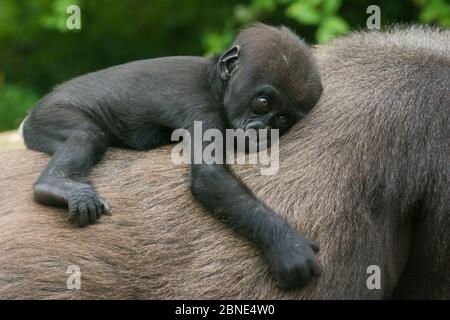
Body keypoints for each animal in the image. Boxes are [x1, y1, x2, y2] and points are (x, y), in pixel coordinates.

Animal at [22, 23, 324, 292]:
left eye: (282, 120)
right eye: (263, 102)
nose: (262, 131)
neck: (215, 83)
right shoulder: (202, 110)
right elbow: (209, 177)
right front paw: (285, 244)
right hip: (47, 114)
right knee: (87, 134)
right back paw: (54, 185)